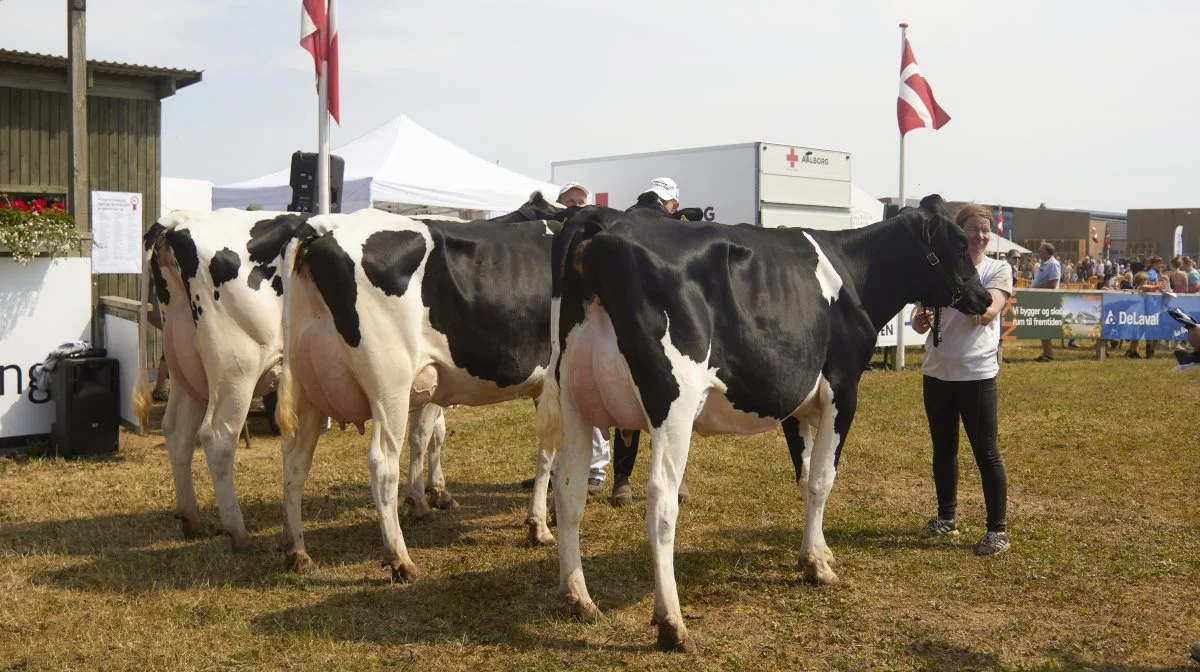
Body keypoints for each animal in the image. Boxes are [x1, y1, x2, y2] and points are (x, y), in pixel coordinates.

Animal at [131, 210, 451, 552]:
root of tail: (181, 221)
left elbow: (434, 432)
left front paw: (436, 490)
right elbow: (425, 435)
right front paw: (425, 498)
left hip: (187, 371)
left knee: (177, 431)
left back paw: (191, 519)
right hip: (236, 370)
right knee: (217, 437)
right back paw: (238, 532)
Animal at [540, 194, 988, 652]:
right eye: (958, 242)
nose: (984, 297)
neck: (854, 274)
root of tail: (602, 218)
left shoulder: (795, 403)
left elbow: (805, 478)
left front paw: (815, 552)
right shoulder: (842, 390)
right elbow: (822, 479)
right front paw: (818, 567)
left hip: (574, 398)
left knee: (569, 492)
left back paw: (579, 599)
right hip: (673, 401)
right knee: (661, 500)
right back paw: (672, 624)